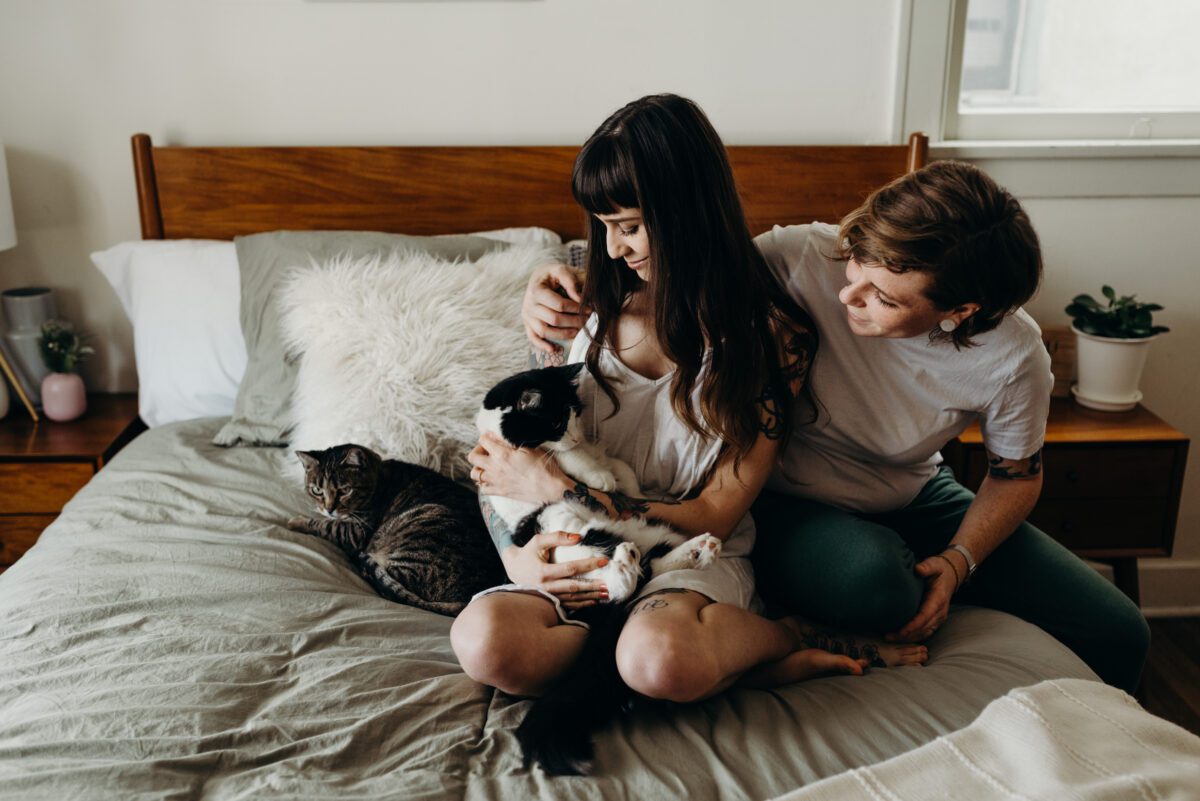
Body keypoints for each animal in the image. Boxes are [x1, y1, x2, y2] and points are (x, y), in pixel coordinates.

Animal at [288, 441, 504, 618]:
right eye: (317, 490)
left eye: (344, 490)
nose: (329, 508)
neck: (377, 478)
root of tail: (470, 600)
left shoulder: (355, 533)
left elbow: (324, 525)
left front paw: (296, 521)